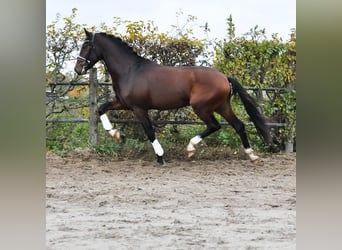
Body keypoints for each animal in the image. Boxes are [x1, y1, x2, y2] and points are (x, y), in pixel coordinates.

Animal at [74, 29, 270, 165]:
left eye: (87, 46)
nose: (77, 69)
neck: (131, 70)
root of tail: (224, 77)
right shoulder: (123, 103)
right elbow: (101, 108)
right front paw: (114, 133)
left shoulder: (139, 109)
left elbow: (149, 131)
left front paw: (160, 157)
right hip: (222, 105)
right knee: (239, 125)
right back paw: (252, 155)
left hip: (201, 107)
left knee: (214, 125)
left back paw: (191, 148)